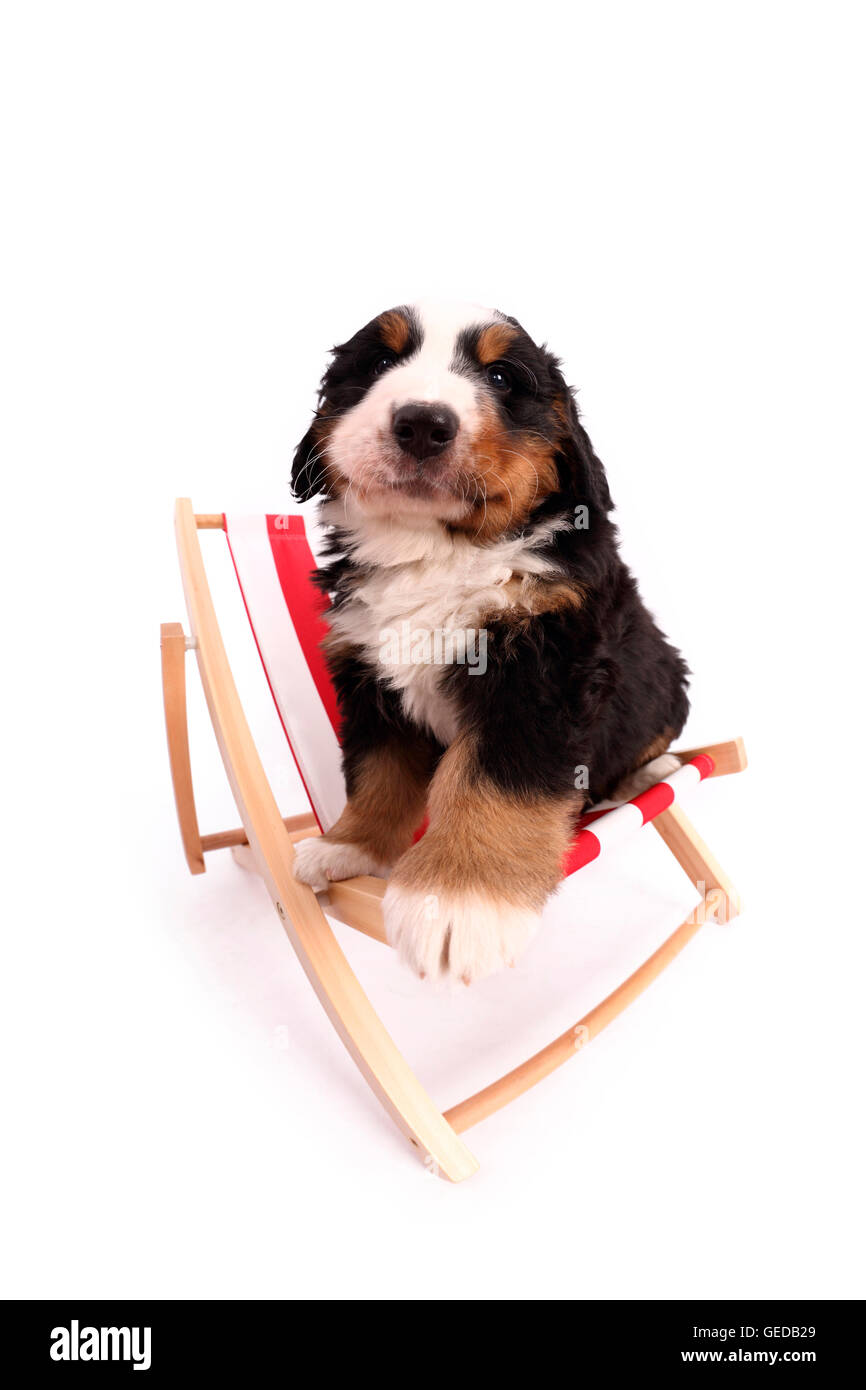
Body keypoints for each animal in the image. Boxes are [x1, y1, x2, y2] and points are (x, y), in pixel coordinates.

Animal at [293, 298, 692, 984]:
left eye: (501, 377)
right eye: (379, 363)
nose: (422, 423)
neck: (435, 548)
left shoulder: (541, 673)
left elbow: (491, 782)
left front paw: (459, 901)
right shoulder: (368, 671)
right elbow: (377, 774)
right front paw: (349, 847)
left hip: (668, 682)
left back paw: (649, 774)